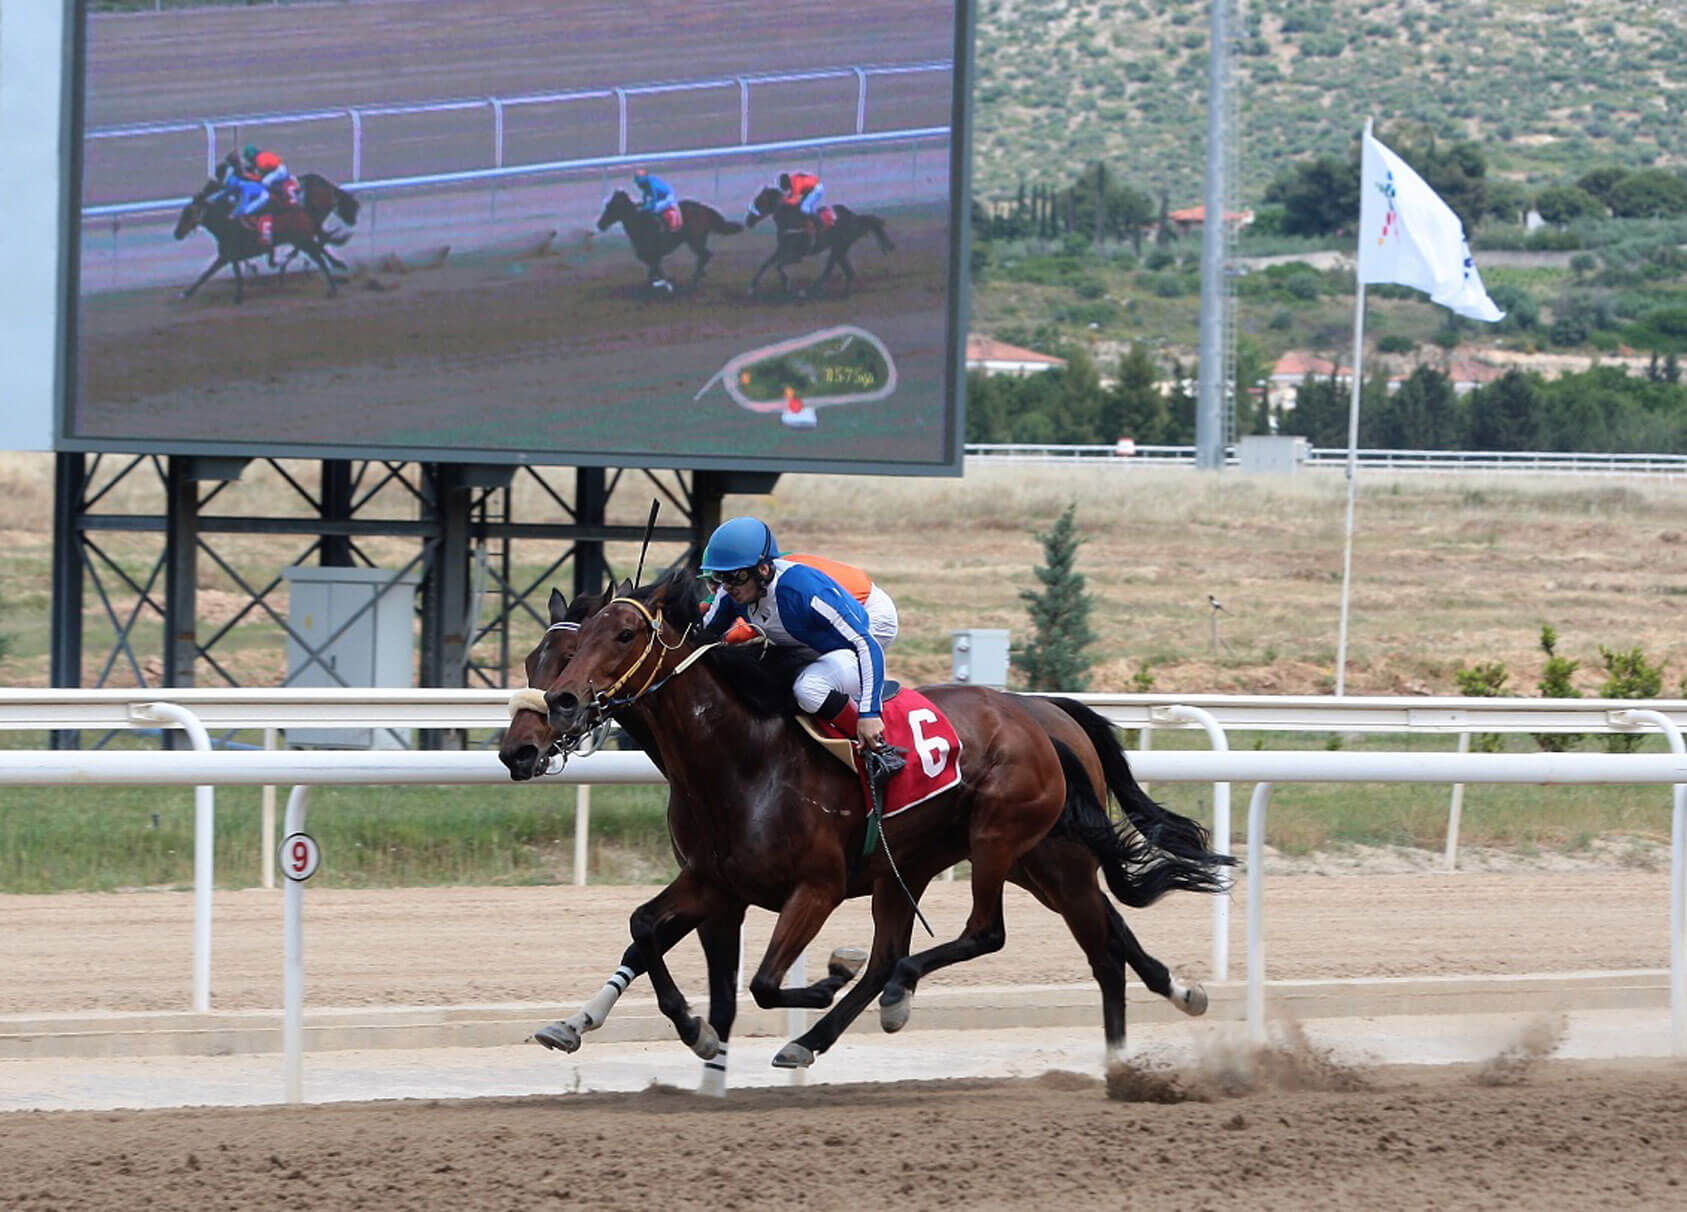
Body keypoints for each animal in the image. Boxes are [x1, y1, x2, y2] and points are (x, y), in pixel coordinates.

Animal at [174, 178, 345, 303]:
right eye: (183, 212)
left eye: (189, 213)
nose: (177, 233)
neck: (226, 224)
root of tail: (305, 213)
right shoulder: (228, 256)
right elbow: (208, 275)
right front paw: (186, 293)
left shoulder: (229, 255)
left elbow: (222, 275)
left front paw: (237, 297)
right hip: (302, 241)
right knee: (318, 250)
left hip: (303, 241)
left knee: (319, 257)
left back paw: (332, 288)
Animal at [499, 573, 1228, 1087]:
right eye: (539, 658)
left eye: (621, 636)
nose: (524, 743)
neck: (738, 756)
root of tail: (1038, 712)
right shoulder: (715, 883)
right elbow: (646, 931)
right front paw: (606, 1025)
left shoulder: (814, 888)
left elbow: (762, 983)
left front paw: (818, 980)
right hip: (1008, 860)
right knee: (1098, 940)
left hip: (1004, 841)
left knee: (986, 935)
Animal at [600, 190, 745, 295]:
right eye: (607, 205)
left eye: (611, 207)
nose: (600, 224)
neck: (641, 224)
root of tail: (703, 208)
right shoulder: (652, 257)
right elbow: (655, 273)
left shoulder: (654, 255)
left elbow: (656, 273)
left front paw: (667, 287)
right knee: (704, 256)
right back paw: (698, 277)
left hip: (695, 240)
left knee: (705, 255)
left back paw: (694, 280)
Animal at [742, 184, 890, 298]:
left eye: (759, 202)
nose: (748, 221)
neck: (791, 220)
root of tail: (853, 217)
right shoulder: (781, 249)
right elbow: (766, 264)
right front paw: (751, 288)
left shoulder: (797, 255)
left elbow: (778, 265)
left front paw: (786, 284)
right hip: (839, 250)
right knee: (848, 272)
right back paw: (845, 293)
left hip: (838, 248)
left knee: (829, 271)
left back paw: (807, 292)